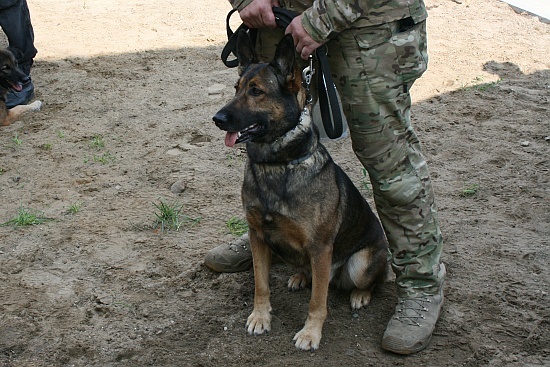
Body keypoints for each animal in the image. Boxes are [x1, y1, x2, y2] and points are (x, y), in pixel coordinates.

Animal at [213, 33, 390, 352]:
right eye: (236, 88)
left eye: (256, 91)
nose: (217, 118)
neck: (276, 165)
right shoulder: (258, 236)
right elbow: (261, 284)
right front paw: (260, 317)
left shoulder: (320, 248)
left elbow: (318, 301)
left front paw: (310, 333)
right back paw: (299, 275)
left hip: (361, 262)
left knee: (369, 280)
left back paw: (360, 294)